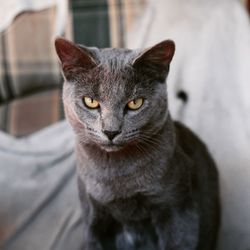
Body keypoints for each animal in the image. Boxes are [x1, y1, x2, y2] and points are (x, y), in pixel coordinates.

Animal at [54, 37, 219, 250]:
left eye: (135, 103)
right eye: (90, 101)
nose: (111, 131)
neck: (116, 176)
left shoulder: (178, 208)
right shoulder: (93, 216)